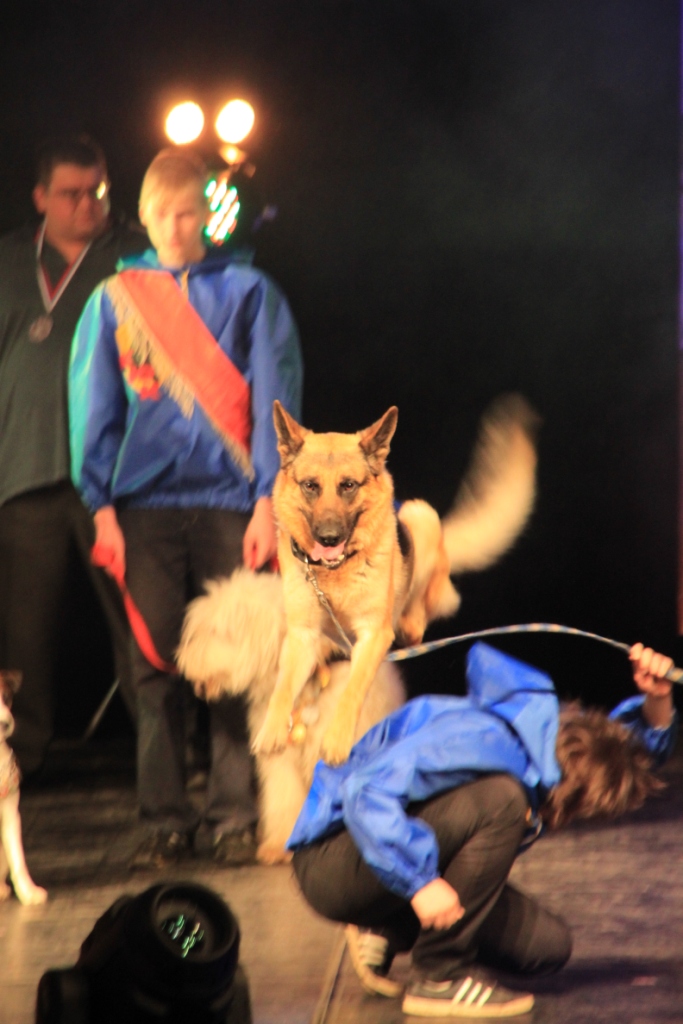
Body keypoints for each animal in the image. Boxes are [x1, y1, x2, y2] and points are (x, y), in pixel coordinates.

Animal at [253, 394, 538, 765]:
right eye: (310, 486)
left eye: (348, 485)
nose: (329, 538)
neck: (334, 575)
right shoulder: (303, 636)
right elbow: (283, 687)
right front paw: (271, 730)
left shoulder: (373, 635)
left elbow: (352, 690)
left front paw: (338, 740)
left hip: (421, 516)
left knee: (432, 603)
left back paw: (412, 619)